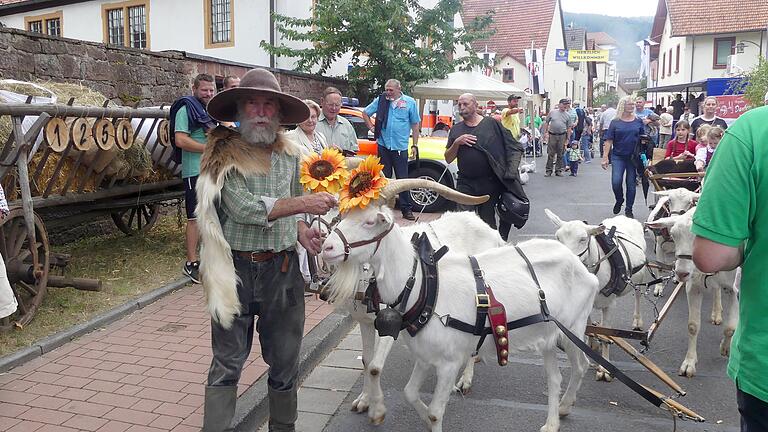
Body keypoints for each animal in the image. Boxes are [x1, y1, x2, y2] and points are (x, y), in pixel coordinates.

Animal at [320, 209, 508, 422]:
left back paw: (464, 381)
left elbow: (375, 366)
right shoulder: (364, 322)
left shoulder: (390, 321)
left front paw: (377, 410)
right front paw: (364, 400)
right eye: (338, 219)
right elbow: (367, 362)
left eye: (369, 222)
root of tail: (491, 230)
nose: (326, 247)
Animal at [544, 210, 652, 382]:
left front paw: (604, 368)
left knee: (637, 295)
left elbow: (605, 333)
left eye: (583, 239)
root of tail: (625, 218)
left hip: (639, 279)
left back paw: (637, 320)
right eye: (557, 237)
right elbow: (588, 328)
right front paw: (591, 344)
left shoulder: (608, 304)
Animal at [648, 208, 736, 376]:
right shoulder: (693, 286)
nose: (681, 273)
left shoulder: (736, 289)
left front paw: (726, 348)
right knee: (716, 289)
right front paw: (689, 363)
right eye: (673, 234)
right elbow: (693, 326)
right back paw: (716, 312)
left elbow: (731, 328)